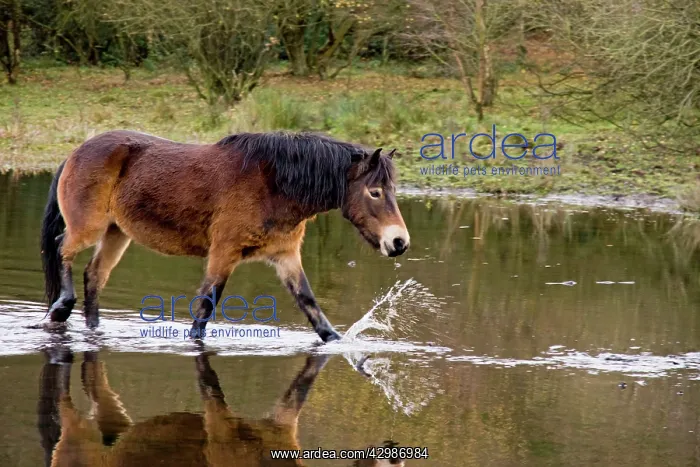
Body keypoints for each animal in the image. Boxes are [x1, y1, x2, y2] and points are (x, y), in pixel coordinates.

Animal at [40, 130, 410, 342]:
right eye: (375, 192)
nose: (399, 242)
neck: (273, 185)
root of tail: (76, 152)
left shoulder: (286, 257)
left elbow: (311, 306)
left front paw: (337, 342)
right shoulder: (223, 253)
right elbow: (205, 308)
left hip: (117, 233)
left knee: (94, 275)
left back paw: (92, 328)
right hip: (89, 227)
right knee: (63, 248)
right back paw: (61, 308)